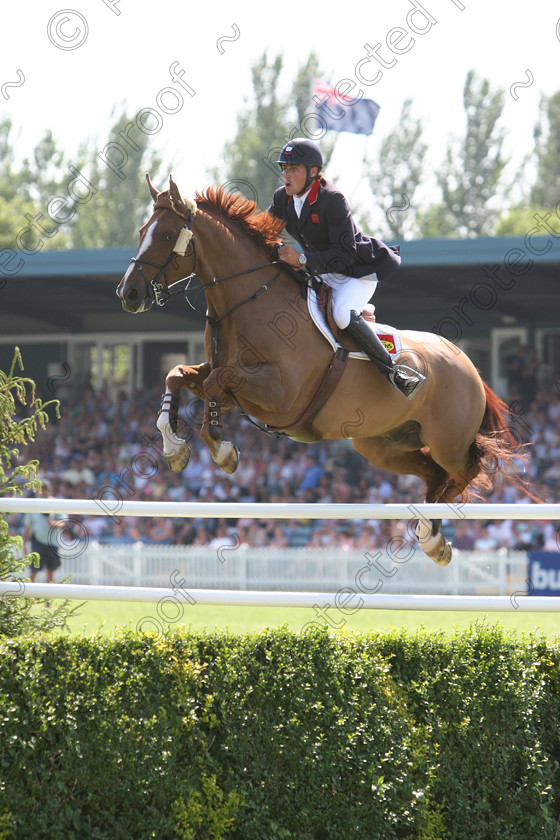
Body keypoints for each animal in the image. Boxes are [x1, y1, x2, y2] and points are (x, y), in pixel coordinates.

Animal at [116, 174, 528, 568]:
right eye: (141, 231)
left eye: (167, 235)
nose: (128, 294)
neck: (249, 301)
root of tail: (469, 365)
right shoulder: (236, 388)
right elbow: (178, 375)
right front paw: (176, 448)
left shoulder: (280, 395)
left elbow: (218, 383)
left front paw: (221, 450)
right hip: (381, 445)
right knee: (436, 475)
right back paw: (433, 537)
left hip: (447, 440)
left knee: (467, 469)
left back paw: (431, 536)